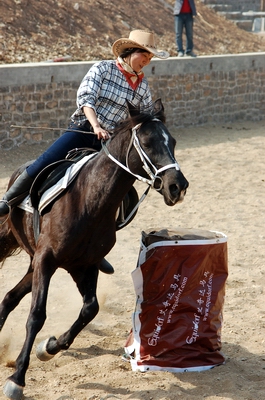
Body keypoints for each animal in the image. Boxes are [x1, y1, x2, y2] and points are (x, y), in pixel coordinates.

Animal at [0, 98, 188, 398]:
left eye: (173, 141)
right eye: (147, 142)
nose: (177, 186)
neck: (88, 201)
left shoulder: (84, 266)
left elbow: (90, 309)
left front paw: (48, 347)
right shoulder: (47, 260)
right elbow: (36, 316)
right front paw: (17, 378)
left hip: (34, 263)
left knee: (9, 297)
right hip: (33, 255)